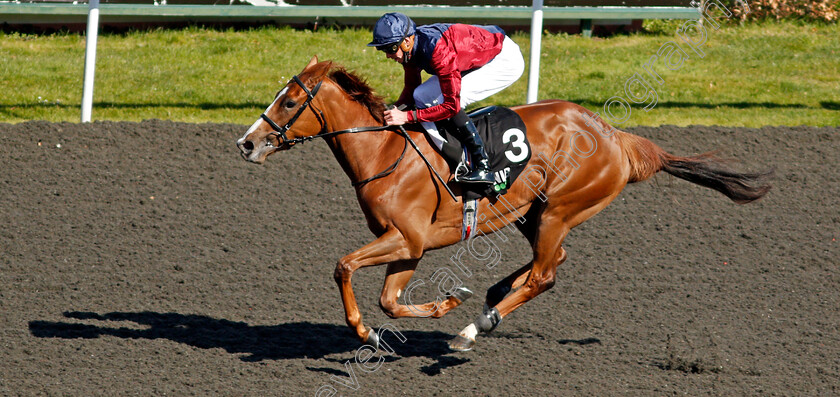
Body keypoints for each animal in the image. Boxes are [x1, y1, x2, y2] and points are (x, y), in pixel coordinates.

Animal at [236, 55, 776, 350]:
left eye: (289, 102)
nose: (247, 143)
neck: (385, 152)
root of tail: (616, 136)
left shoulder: (406, 237)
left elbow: (344, 266)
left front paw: (366, 331)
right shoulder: (409, 245)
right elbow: (390, 301)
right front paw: (439, 305)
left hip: (560, 208)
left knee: (544, 273)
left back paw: (476, 328)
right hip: (533, 212)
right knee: (552, 262)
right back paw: (493, 296)